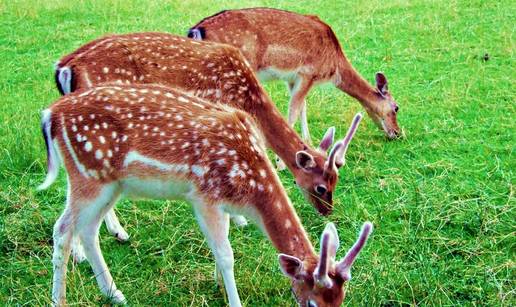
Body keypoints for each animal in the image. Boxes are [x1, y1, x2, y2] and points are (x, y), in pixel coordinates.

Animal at [38, 83, 372, 306]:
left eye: (341, 299)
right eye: (313, 302)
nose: (327, 209)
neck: (250, 193)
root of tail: (51, 114)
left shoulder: (221, 205)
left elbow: (218, 249)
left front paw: (217, 284)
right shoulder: (205, 197)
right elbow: (226, 254)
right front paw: (233, 300)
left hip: (110, 184)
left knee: (87, 229)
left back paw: (115, 293)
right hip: (87, 177)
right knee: (63, 229)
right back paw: (59, 300)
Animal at [53, 32, 362, 249]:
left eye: (336, 180)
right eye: (321, 187)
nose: (327, 211)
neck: (247, 97)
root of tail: (64, 67)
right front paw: (238, 219)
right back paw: (115, 234)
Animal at [189, 6, 404, 144]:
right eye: (396, 108)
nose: (398, 133)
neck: (334, 67)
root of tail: (196, 30)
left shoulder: (292, 79)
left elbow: (302, 107)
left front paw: (308, 141)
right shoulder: (307, 74)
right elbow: (293, 111)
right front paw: (283, 162)